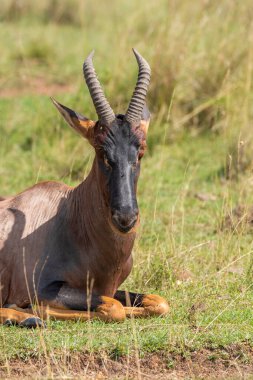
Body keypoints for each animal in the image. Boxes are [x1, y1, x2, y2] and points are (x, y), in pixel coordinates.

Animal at [0, 49, 170, 328]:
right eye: (101, 151)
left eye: (141, 151)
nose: (125, 217)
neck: (69, 216)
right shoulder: (43, 288)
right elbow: (113, 308)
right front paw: (34, 310)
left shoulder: (110, 288)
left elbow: (158, 302)